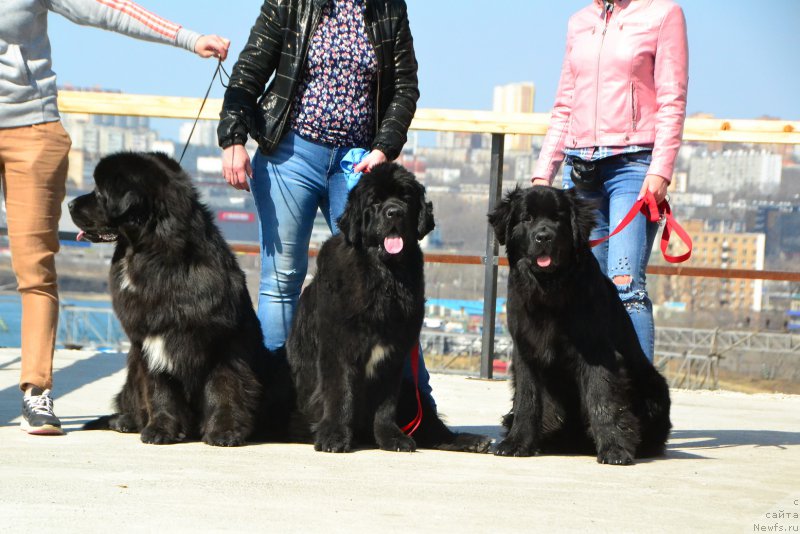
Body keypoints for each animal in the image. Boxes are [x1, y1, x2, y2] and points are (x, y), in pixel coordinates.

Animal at [69, 152, 290, 448]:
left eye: (99, 194)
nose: (69, 203)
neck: (158, 260)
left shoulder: (224, 342)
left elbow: (224, 387)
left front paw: (224, 432)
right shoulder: (148, 341)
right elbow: (159, 389)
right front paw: (160, 430)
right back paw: (125, 421)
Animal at [284, 163, 490, 456]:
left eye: (405, 198)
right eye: (375, 201)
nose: (394, 212)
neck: (384, 277)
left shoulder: (395, 354)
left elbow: (385, 404)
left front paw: (391, 438)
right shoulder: (338, 348)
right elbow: (339, 392)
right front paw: (334, 436)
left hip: (411, 390)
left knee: (433, 428)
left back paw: (471, 440)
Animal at [488, 187, 668, 464]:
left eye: (558, 218)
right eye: (527, 218)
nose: (543, 236)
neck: (549, 289)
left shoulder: (597, 350)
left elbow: (601, 398)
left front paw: (614, 448)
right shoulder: (525, 351)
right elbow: (527, 400)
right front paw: (516, 443)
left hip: (655, 386)